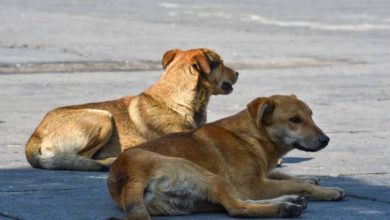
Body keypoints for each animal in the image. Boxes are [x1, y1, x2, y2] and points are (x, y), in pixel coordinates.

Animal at [25, 48, 238, 172]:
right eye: (220, 63)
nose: (237, 73)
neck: (178, 101)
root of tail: (36, 134)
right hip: (102, 117)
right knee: (83, 159)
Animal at [108, 94, 346, 218]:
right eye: (295, 120)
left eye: (311, 116)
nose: (326, 140)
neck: (252, 135)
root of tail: (129, 177)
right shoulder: (253, 186)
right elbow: (295, 184)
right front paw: (326, 191)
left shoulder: (260, 178)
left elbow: (283, 175)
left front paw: (310, 179)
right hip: (206, 176)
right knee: (236, 207)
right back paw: (284, 207)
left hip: (199, 199)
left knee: (235, 202)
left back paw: (289, 201)